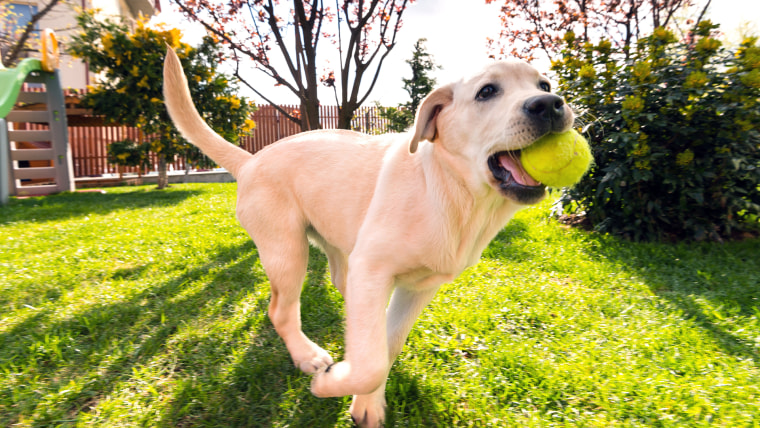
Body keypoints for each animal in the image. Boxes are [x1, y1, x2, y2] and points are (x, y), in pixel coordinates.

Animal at [163, 47, 572, 428]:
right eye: (487, 91)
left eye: (544, 85)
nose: (550, 104)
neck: (450, 192)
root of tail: (250, 160)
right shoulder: (374, 269)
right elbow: (371, 362)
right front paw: (334, 383)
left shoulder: (418, 287)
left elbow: (385, 345)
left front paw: (368, 400)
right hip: (287, 250)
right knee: (281, 310)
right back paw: (308, 357)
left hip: (339, 251)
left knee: (346, 296)